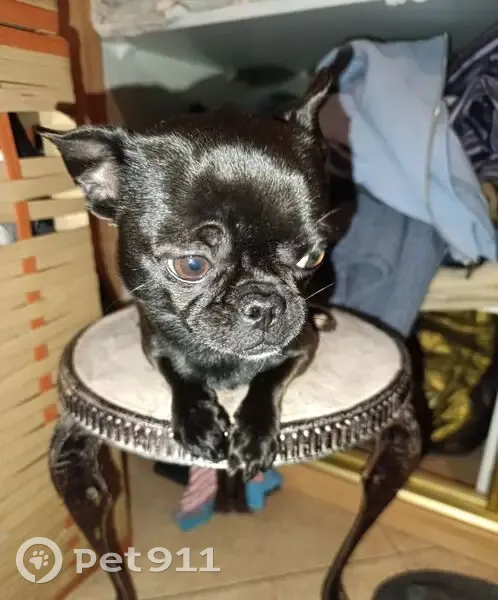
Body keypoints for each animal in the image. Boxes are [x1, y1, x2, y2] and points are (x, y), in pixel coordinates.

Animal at [42, 56, 349, 480]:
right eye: (191, 264)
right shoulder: (153, 340)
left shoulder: (300, 349)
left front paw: (253, 436)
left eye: (313, 257)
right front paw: (198, 420)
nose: (266, 305)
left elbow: (268, 381)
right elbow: (178, 372)